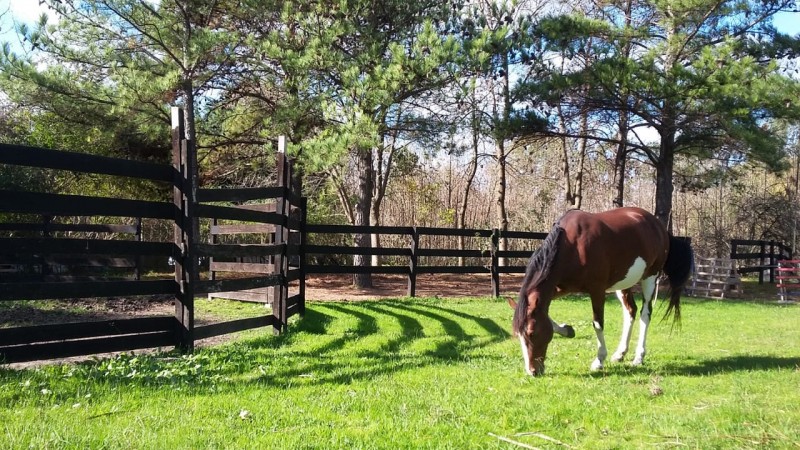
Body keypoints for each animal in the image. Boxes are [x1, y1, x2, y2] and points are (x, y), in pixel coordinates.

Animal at [512, 207, 692, 376]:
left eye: (531, 333)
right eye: (518, 335)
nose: (533, 371)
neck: (574, 245)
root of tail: (658, 226)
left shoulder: (597, 290)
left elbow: (598, 324)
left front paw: (599, 360)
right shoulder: (560, 289)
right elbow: (547, 315)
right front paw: (567, 330)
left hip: (650, 277)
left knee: (645, 314)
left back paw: (639, 357)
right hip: (623, 283)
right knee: (630, 311)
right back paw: (620, 353)